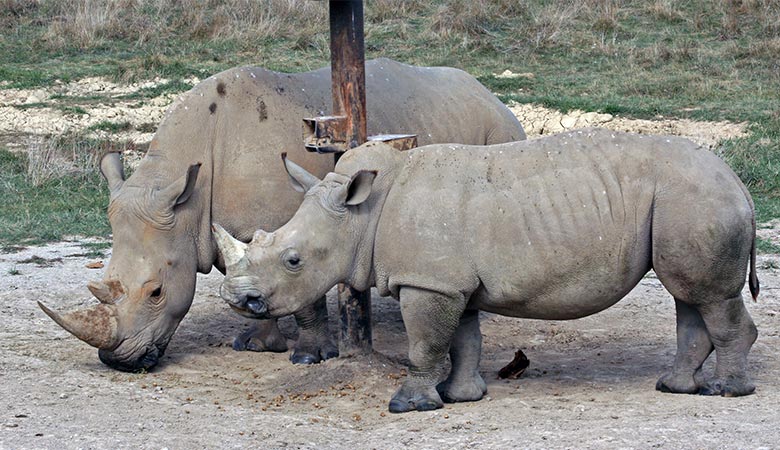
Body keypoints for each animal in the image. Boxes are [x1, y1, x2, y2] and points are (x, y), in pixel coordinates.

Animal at [38, 58, 526, 372]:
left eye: (157, 291)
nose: (116, 362)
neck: (185, 196)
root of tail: (491, 94)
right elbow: (252, 277)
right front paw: (257, 345)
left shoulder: (292, 222)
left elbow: (301, 292)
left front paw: (309, 355)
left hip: (500, 130)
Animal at [215, 128, 759, 413]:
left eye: (293, 260)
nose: (239, 301)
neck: (360, 214)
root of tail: (738, 182)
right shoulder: (451, 283)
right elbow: (463, 341)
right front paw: (461, 397)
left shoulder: (429, 282)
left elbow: (425, 344)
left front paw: (409, 405)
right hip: (685, 203)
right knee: (689, 295)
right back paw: (675, 387)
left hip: (695, 201)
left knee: (707, 298)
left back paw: (726, 393)